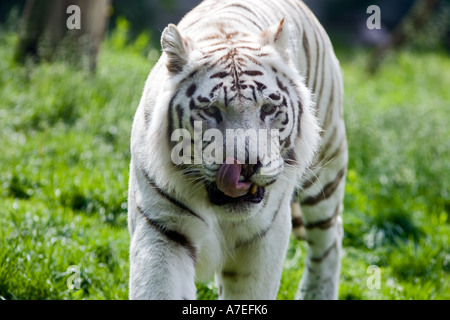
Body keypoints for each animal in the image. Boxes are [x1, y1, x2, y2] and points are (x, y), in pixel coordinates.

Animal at [128, 0, 346, 300]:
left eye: (268, 108)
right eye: (211, 110)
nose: (246, 166)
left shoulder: (264, 237)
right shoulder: (162, 226)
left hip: (324, 170)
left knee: (330, 237)